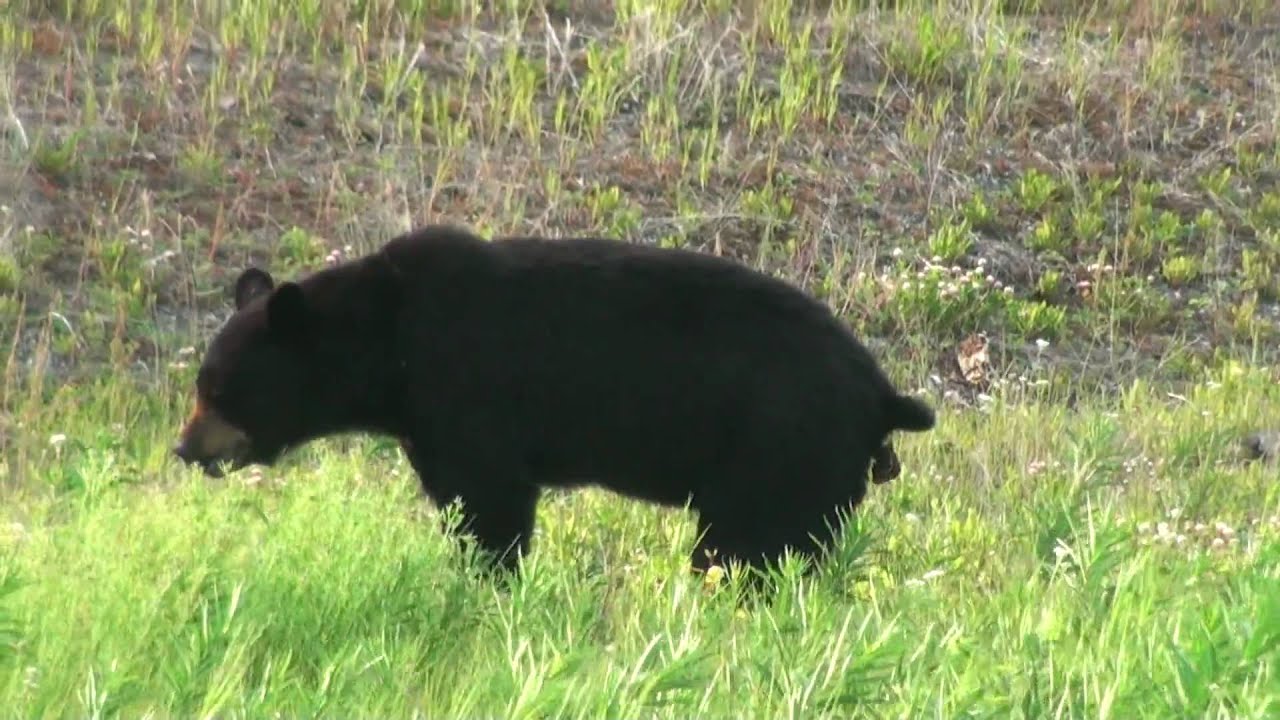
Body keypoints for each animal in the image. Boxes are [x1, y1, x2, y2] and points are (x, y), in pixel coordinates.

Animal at [173, 223, 936, 583]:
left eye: (218, 389)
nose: (183, 448)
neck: (385, 346)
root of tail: (881, 392)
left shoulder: (464, 392)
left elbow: (489, 501)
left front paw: (484, 580)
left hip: (778, 446)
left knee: (748, 548)